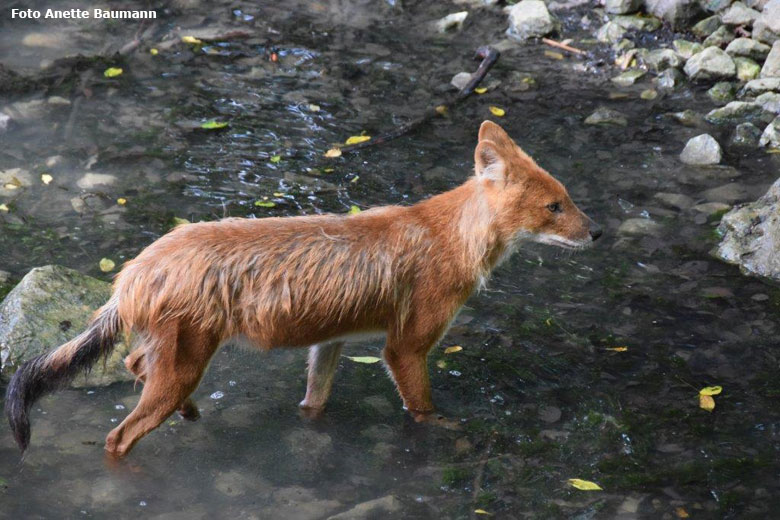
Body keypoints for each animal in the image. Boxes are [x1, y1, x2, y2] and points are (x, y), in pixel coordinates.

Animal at [4, 120, 604, 458]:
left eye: (569, 198)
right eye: (554, 207)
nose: (597, 232)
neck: (451, 234)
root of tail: (136, 268)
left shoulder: (330, 342)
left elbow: (314, 403)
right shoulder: (405, 348)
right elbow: (424, 411)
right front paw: (448, 436)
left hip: (177, 358)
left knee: (133, 365)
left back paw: (192, 415)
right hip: (184, 363)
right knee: (118, 436)